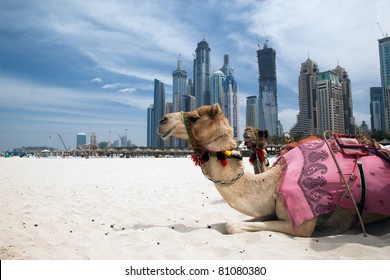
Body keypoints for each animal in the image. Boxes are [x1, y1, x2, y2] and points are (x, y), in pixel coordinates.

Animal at [158, 104, 390, 235]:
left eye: (194, 117)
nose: (162, 120)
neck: (275, 180)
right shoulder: (269, 209)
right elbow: (241, 221)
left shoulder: (303, 224)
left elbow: (231, 226)